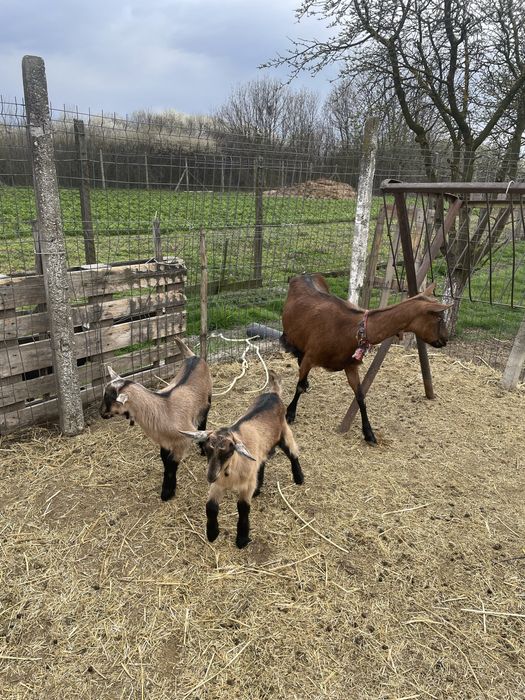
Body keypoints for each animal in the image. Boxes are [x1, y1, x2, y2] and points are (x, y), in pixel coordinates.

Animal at [100, 338, 212, 501]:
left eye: (110, 399)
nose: (101, 413)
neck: (162, 408)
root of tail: (193, 357)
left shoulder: (182, 441)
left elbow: (171, 465)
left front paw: (167, 493)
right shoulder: (164, 440)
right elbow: (164, 460)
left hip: (207, 401)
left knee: (203, 421)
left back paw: (203, 449)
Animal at [181, 371, 304, 548]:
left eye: (228, 452)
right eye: (207, 450)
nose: (210, 476)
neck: (231, 471)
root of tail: (273, 393)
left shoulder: (246, 485)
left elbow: (243, 508)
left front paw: (242, 538)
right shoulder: (218, 484)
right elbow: (210, 507)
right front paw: (212, 533)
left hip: (285, 433)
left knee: (293, 453)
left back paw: (299, 478)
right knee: (262, 463)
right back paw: (259, 489)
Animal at [281, 273, 451, 444]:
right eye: (439, 318)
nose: (445, 339)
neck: (352, 329)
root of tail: (305, 274)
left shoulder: (350, 366)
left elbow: (360, 397)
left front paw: (369, 433)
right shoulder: (311, 356)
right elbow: (299, 386)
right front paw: (290, 414)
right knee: (299, 361)